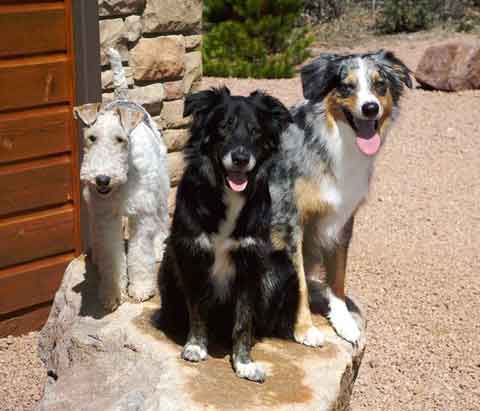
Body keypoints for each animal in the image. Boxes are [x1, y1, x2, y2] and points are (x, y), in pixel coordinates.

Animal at [159, 87, 290, 384]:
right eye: (224, 127)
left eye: (255, 131)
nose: (241, 158)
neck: (228, 193)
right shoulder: (192, 254)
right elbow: (197, 309)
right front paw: (195, 346)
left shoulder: (250, 262)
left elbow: (243, 321)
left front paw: (244, 363)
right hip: (169, 263)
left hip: (278, 266)